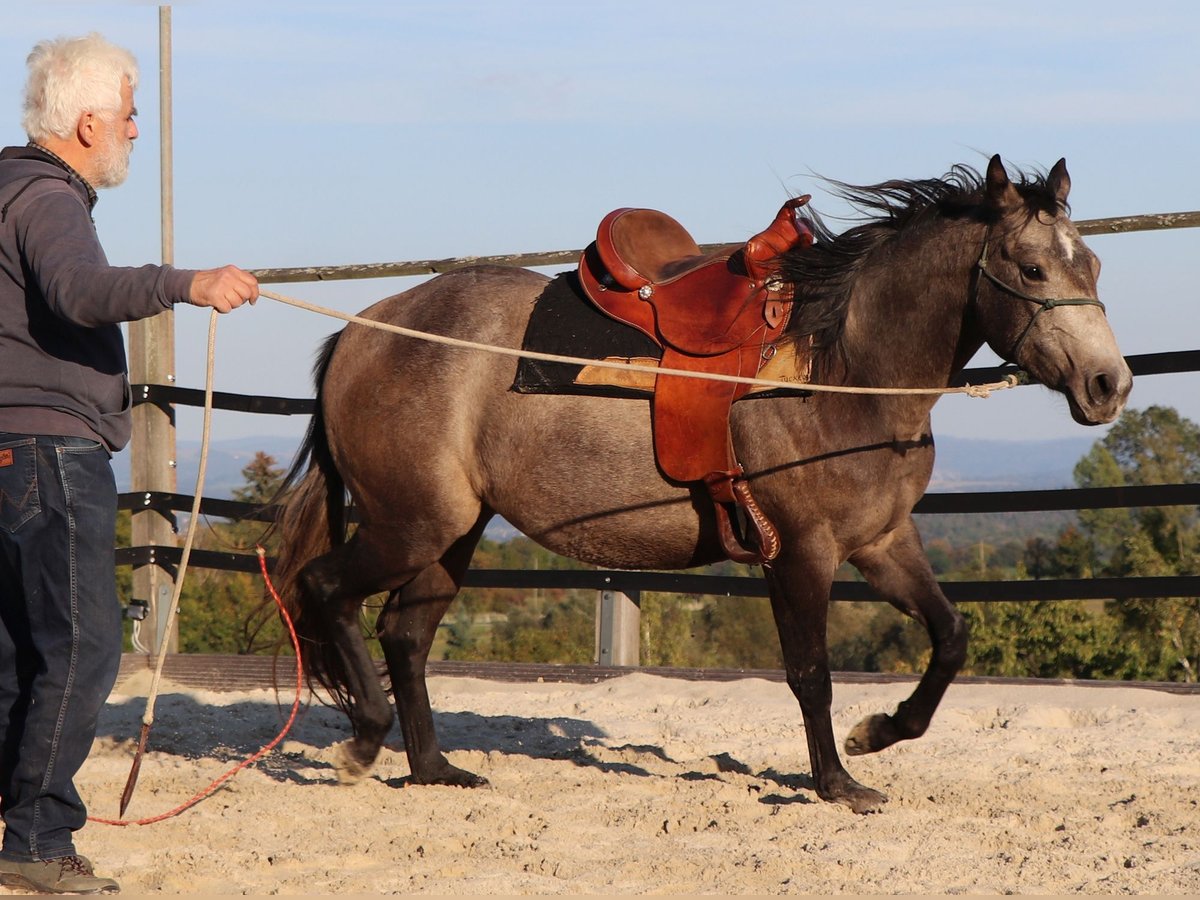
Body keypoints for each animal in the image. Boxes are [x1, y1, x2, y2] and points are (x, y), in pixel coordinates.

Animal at [272, 157, 1132, 816]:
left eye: (1091, 265)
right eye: (1031, 268)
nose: (1108, 384)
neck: (842, 367)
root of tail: (360, 332)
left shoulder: (884, 544)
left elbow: (951, 636)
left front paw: (878, 733)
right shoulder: (799, 554)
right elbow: (812, 675)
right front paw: (836, 781)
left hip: (452, 531)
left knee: (404, 634)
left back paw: (434, 769)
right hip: (412, 524)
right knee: (326, 590)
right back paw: (364, 741)